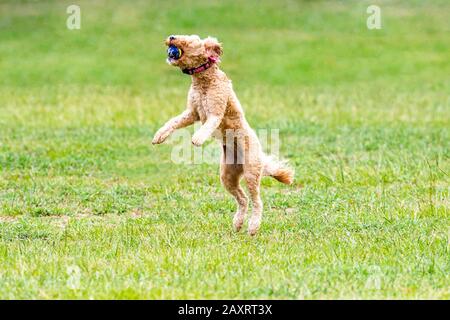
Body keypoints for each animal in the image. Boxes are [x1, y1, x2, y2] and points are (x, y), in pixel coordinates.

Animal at [153, 35, 294, 235]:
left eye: (191, 40)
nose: (172, 37)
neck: (204, 79)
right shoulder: (192, 113)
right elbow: (173, 122)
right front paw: (159, 135)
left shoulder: (215, 113)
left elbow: (206, 127)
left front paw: (197, 139)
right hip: (227, 175)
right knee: (242, 199)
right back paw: (238, 223)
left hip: (251, 172)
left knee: (257, 201)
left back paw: (253, 227)